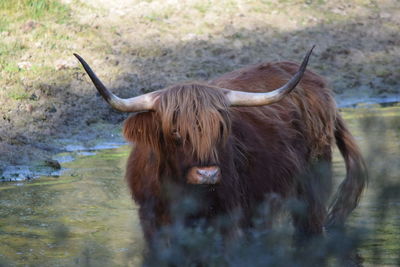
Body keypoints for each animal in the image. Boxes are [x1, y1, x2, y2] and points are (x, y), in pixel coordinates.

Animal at [74, 47, 366, 247]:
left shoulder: (229, 221)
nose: (208, 174)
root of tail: (319, 85)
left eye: (220, 129)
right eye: (175, 131)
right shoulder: (153, 224)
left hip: (311, 186)